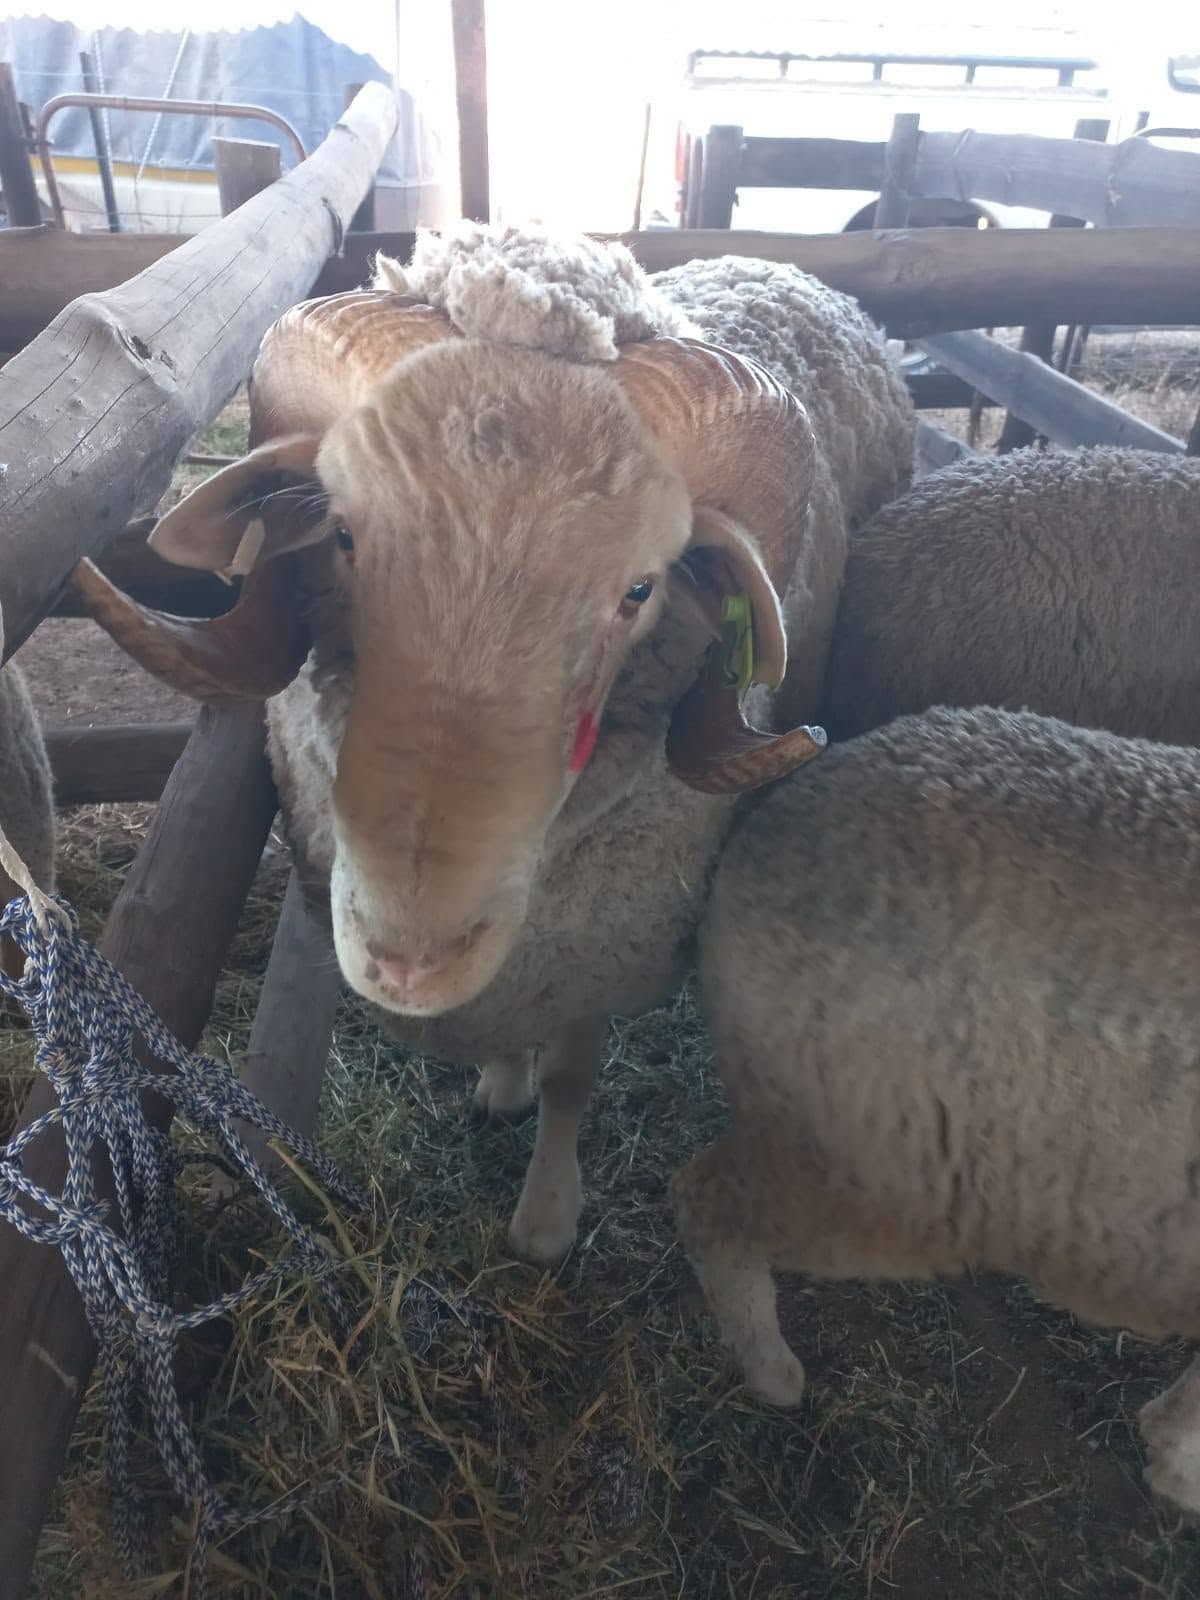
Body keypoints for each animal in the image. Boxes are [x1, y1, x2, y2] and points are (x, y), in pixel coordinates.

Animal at [73, 223, 914, 1262]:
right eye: (341, 536)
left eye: (641, 591)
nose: (409, 958)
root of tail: (774, 261)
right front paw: (500, 1084)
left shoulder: (595, 947)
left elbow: (571, 1074)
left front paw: (546, 1218)